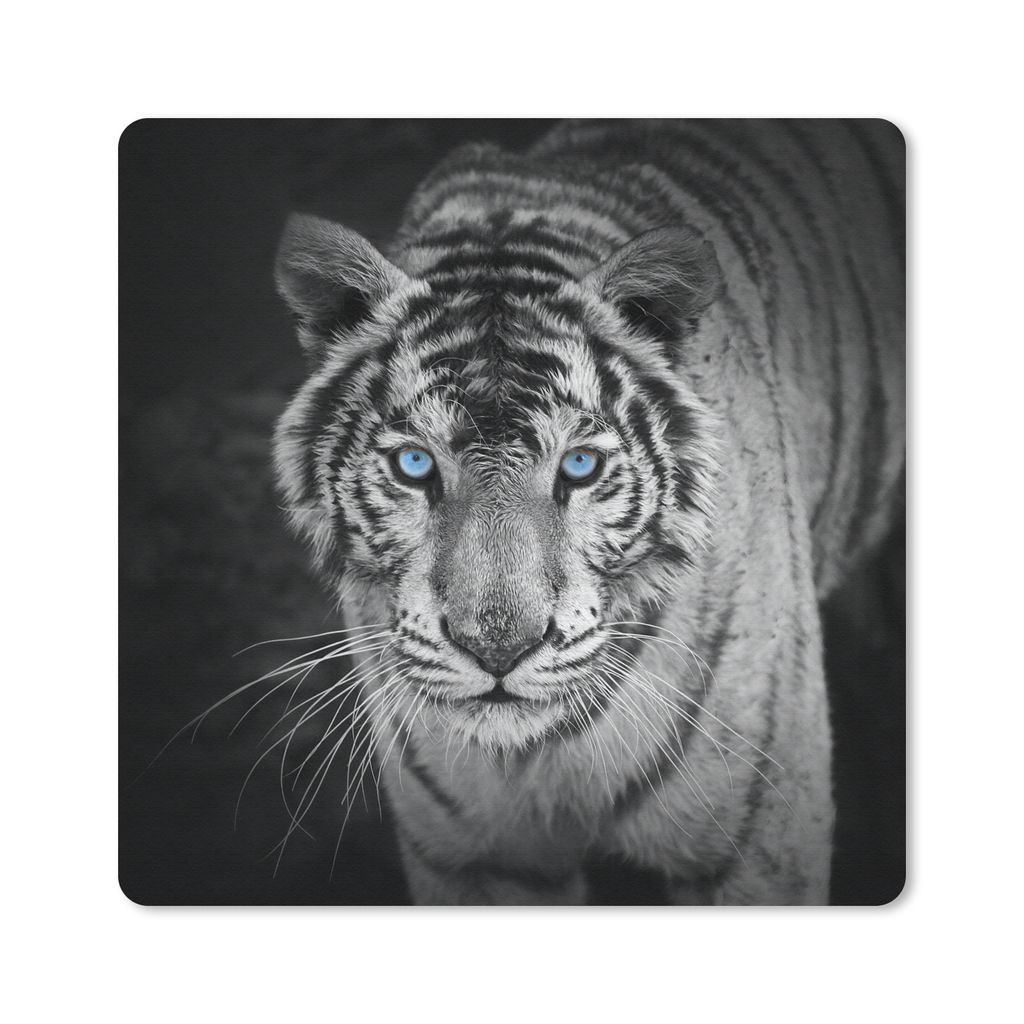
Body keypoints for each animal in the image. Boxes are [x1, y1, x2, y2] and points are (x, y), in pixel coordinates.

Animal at [271, 119, 905, 905]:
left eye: (580, 466)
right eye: (415, 465)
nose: (498, 651)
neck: (537, 755)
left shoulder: (755, 849)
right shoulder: (476, 859)